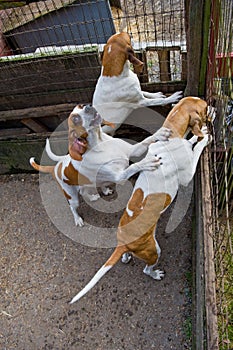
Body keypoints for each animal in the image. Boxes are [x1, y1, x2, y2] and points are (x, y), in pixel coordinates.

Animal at [30, 104, 171, 227]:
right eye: (75, 119)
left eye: (81, 106)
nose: (88, 106)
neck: (101, 144)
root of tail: (56, 167)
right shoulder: (120, 176)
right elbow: (134, 166)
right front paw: (146, 162)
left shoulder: (134, 150)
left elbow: (146, 140)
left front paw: (159, 133)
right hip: (72, 197)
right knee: (73, 207)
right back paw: (77, 219)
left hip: (87, 184)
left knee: (86, 191)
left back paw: (96, 195)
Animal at [69, 96, 213, 304]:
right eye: (205, 106)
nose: (214, 106)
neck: (172, 133)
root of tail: (123, 243)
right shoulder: (188, 175)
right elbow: (197, 149)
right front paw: (204, 139)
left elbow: (192, 139)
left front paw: (197, 136)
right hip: (154, 251)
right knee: (147, 269)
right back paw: (155, 274)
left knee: (128, 256)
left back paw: (126, 257)